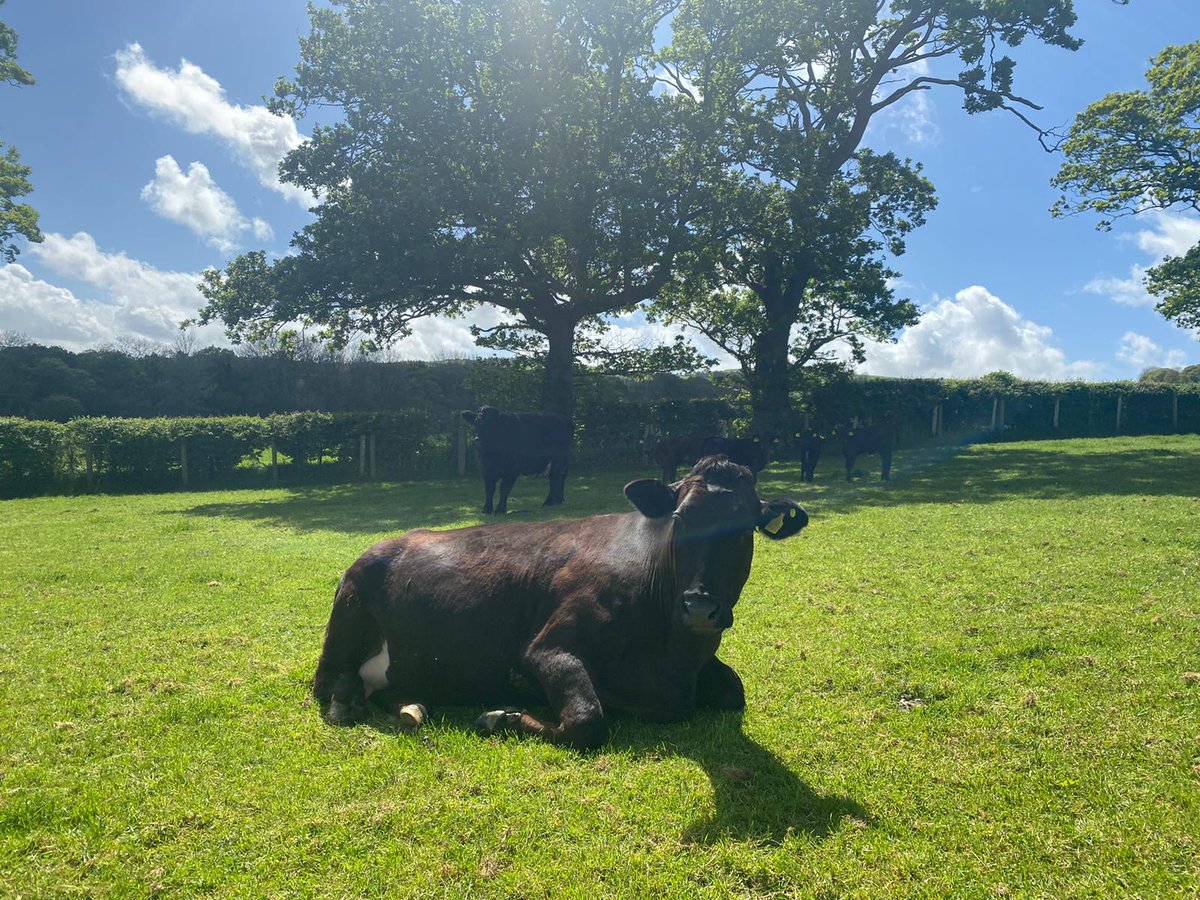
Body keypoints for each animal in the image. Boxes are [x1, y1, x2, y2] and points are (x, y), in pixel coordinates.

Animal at [312, 455, 808, 751]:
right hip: (347, 611)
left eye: (746, 525)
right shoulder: (546, 647)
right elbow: (588, 720)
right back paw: (346, 705)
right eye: (680, 518)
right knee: (328, 681)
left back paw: (412, 708)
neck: (673, 663)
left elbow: (734, 691)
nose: (700, 607)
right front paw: (499, 717)